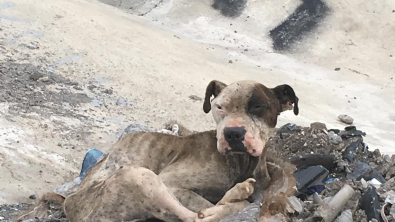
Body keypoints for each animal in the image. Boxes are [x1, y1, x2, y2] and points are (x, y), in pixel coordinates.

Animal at [20, 80, 298, 222]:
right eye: (219, 107)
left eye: (259, 106)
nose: (232, 133)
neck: (240, 162)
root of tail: (70, 203)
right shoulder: (171, 183)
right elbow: (201, 205)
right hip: (139, 176)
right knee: (197, 217)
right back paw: (235, 195)